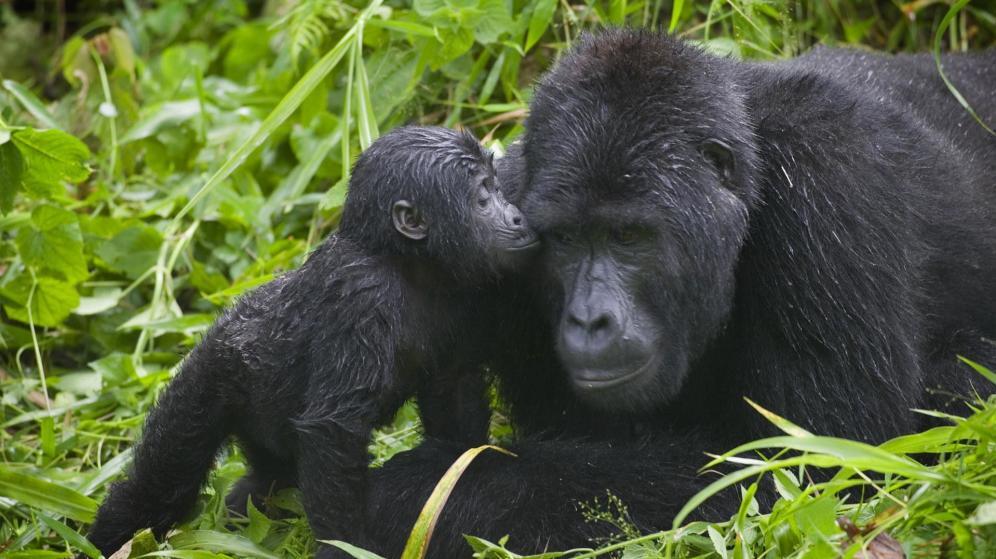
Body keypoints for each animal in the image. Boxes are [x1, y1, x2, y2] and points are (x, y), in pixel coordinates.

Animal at [85, 128, 536, 559]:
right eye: (482, 197)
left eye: (497, 186)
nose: (517, 217)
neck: (404, 261)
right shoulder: (361, 298)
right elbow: (333, 428)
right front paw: (345, 547)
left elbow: (454, 397)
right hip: (208, 378)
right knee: (161, 483)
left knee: (267, 481)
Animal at [366, 30, 996, 556]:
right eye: (564, 239)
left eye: (628, 236)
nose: (588, 320)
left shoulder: (829, 176)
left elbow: (819, 468)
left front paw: (423, 490)